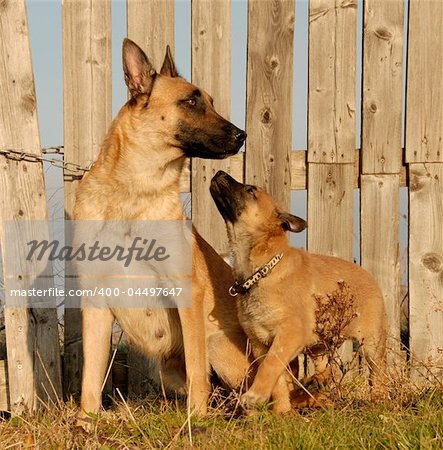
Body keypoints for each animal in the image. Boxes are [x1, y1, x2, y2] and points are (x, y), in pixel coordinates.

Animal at [74, 39, 251, 426]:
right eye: (190, 101)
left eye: (210, 100)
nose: (242, 135)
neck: (133, 194)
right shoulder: (95, 303)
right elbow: (90, 378)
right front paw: (85, 424)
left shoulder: (187, 295)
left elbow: (198, 372)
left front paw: (195, 421)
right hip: (167, 370)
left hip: (217, 345)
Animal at [212, 171, 388, 414]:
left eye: (250, 190)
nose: (219, 172)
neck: (261, 271)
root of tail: (369, 276)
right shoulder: (260, 343)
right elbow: (277, 380)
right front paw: (282, 411)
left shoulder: (289, 334)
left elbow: (270, 366)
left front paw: (255, 396)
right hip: (318, 342)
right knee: (324, 364)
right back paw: (317, 381)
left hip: (371, 342)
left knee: (377, 374)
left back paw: (378, 400)